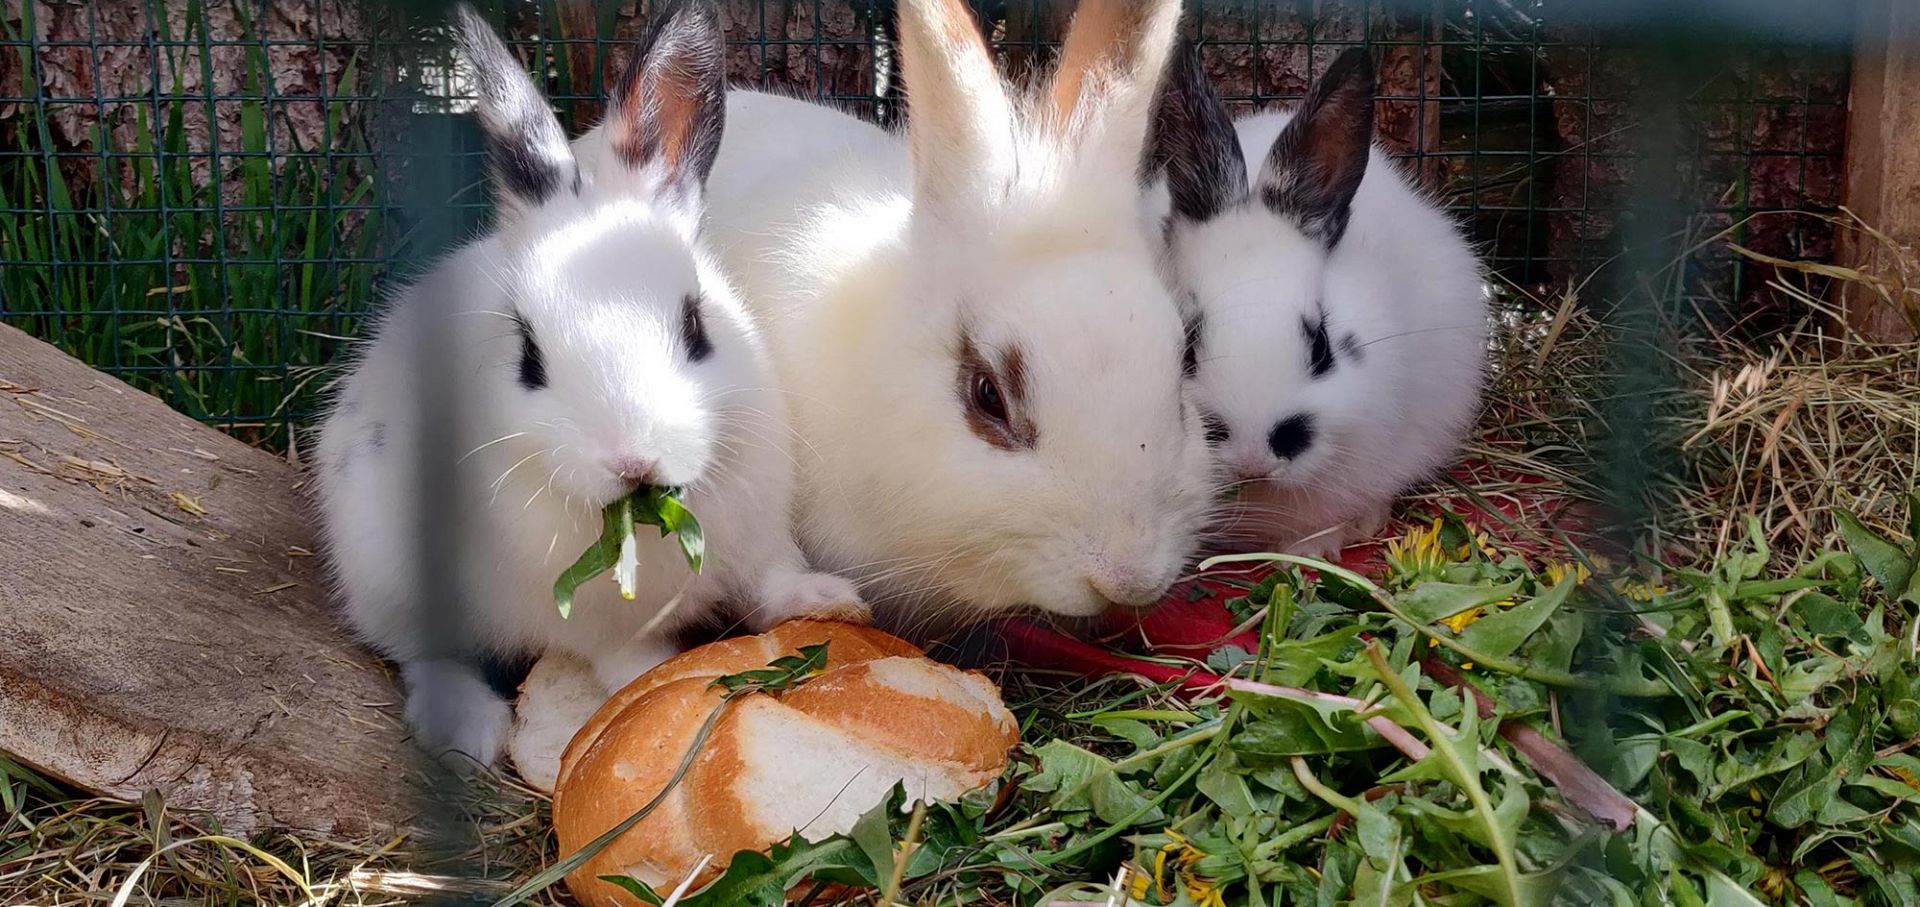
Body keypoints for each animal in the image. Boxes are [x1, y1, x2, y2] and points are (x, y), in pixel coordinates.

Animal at [316, 1, 864, 764]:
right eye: (528, 356)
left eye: (696, 325)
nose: (634, 461)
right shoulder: (600, 624)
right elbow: (628, 660)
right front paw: (662, 685)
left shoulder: (759, 536)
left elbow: (774, 579)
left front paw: (832, 601)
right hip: (387, 568)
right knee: (422, 651)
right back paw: (467, 725)